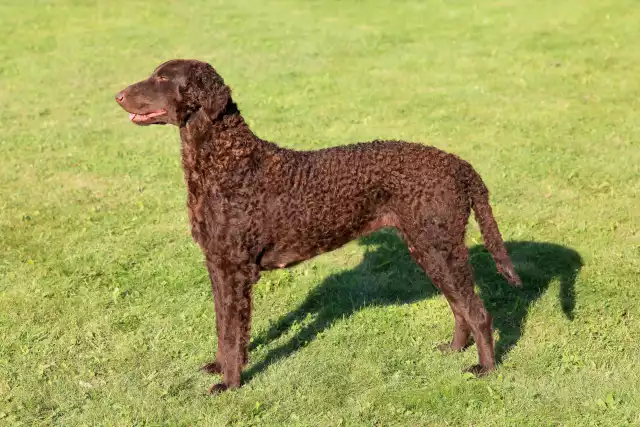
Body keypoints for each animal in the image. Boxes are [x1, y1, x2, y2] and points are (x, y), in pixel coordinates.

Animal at [117, 60, 524, 394]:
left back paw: (486, 369)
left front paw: (229, 384)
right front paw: (220, 367)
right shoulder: (218, 266)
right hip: (429, 249)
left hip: (439, 247)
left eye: (164, 78)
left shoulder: (235, 270)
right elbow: (223, 327)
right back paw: (453, 350)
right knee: (459, 308)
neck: (227, 161)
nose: (117, 95)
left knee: (477, 312)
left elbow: (233, 333)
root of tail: (460, 165)